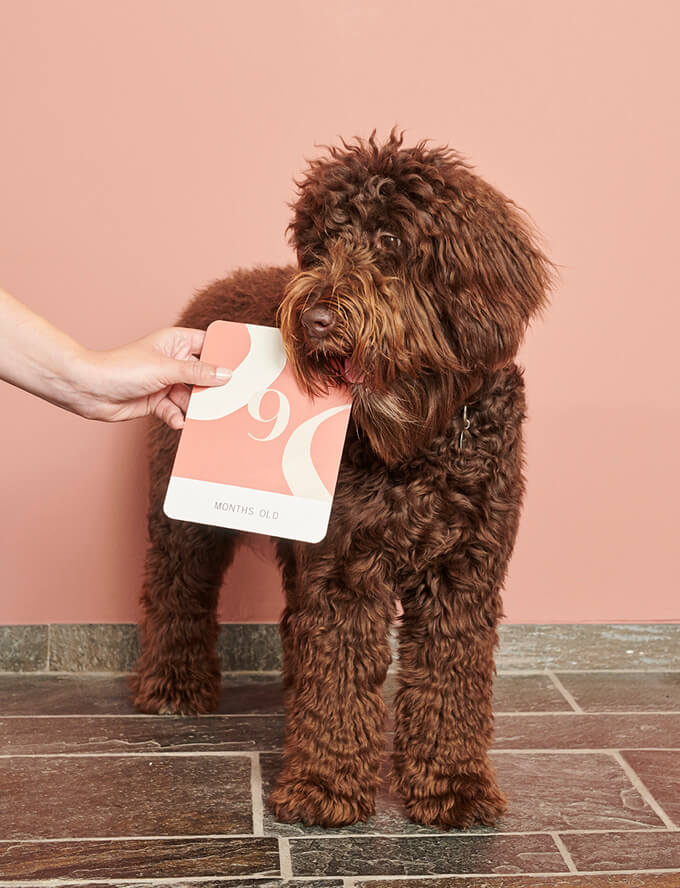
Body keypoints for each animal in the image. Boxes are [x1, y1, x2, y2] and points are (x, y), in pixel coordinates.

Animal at [131, 134, 552, 832]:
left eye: (390, 238)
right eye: (322, 244)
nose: (319, 319)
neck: (416, 442)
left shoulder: (465, 567)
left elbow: (450, 674)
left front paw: (453, 785)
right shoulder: (345, 563)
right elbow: (339, 666)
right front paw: (324, 785)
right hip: (185, 517)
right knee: (176, 590)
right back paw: (173, 686)